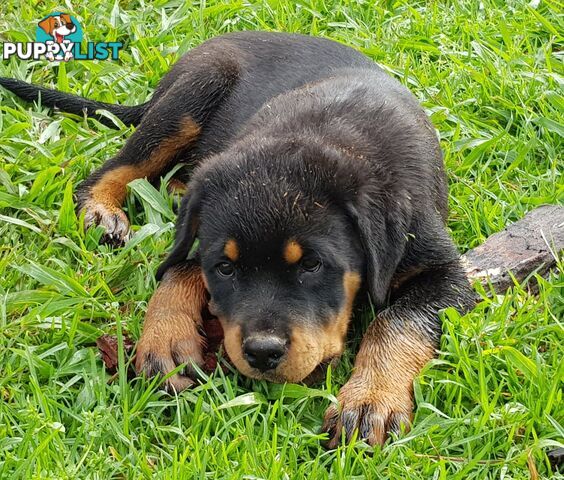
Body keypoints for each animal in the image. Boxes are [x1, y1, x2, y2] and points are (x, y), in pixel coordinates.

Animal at [0, 31, 474, 446]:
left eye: (312, 265)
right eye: (226, 268)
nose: (262, 353)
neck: (328, 134)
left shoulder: (446, 273)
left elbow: (395, 322)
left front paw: (370, 401)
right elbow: (180, 265)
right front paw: (167, 337)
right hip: (194, 94)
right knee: (117, 167)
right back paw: (101, 209)